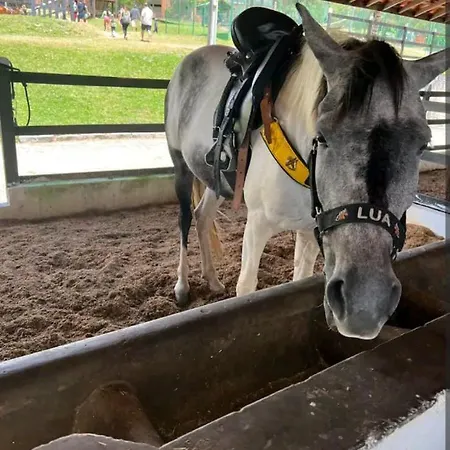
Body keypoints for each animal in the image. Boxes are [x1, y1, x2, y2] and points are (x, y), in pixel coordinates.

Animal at [164, 3, 449, 340]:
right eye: (322, 135)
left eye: (422, 144)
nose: (365, 304)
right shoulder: (257, 224)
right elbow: (246, 287)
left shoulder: (313, 230)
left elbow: (298, 281)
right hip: (180, 164)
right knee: (185, 219)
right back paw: (182, 286)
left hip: (215, 179)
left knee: (203, 215)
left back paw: (211, 278)